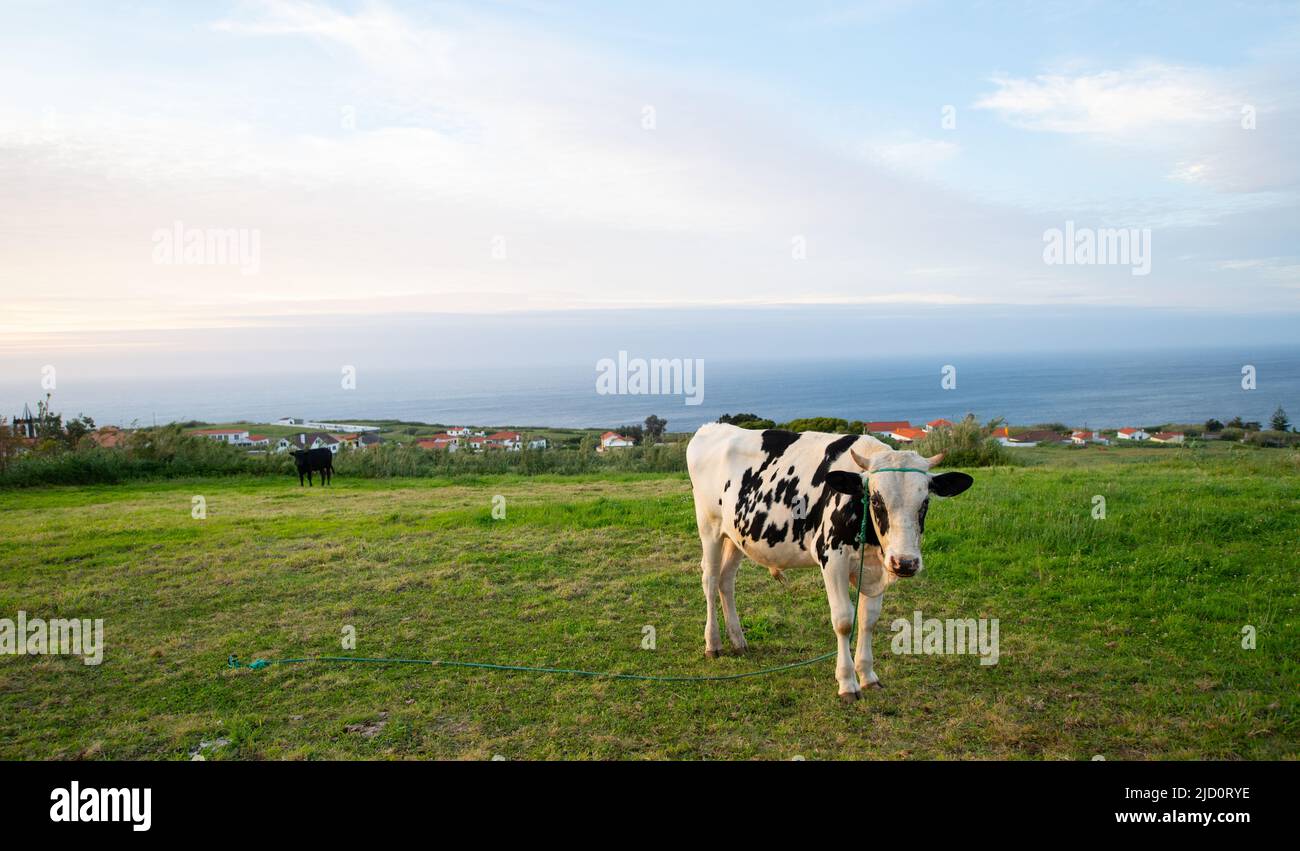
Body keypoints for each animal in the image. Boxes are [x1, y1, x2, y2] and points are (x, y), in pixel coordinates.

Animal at [686, 423, 972, 701]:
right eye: (876, 500)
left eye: (924, 502)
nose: (905, 562)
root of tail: (711, 427)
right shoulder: (832, 558)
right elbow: (844, 621)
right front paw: (847, 683)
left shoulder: (876, 567)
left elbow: (869, 619)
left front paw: (868, 676)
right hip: (709, 528)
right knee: (710, 580)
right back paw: (713, 643)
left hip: (737, 535)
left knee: (726, 581)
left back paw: (738, 641)